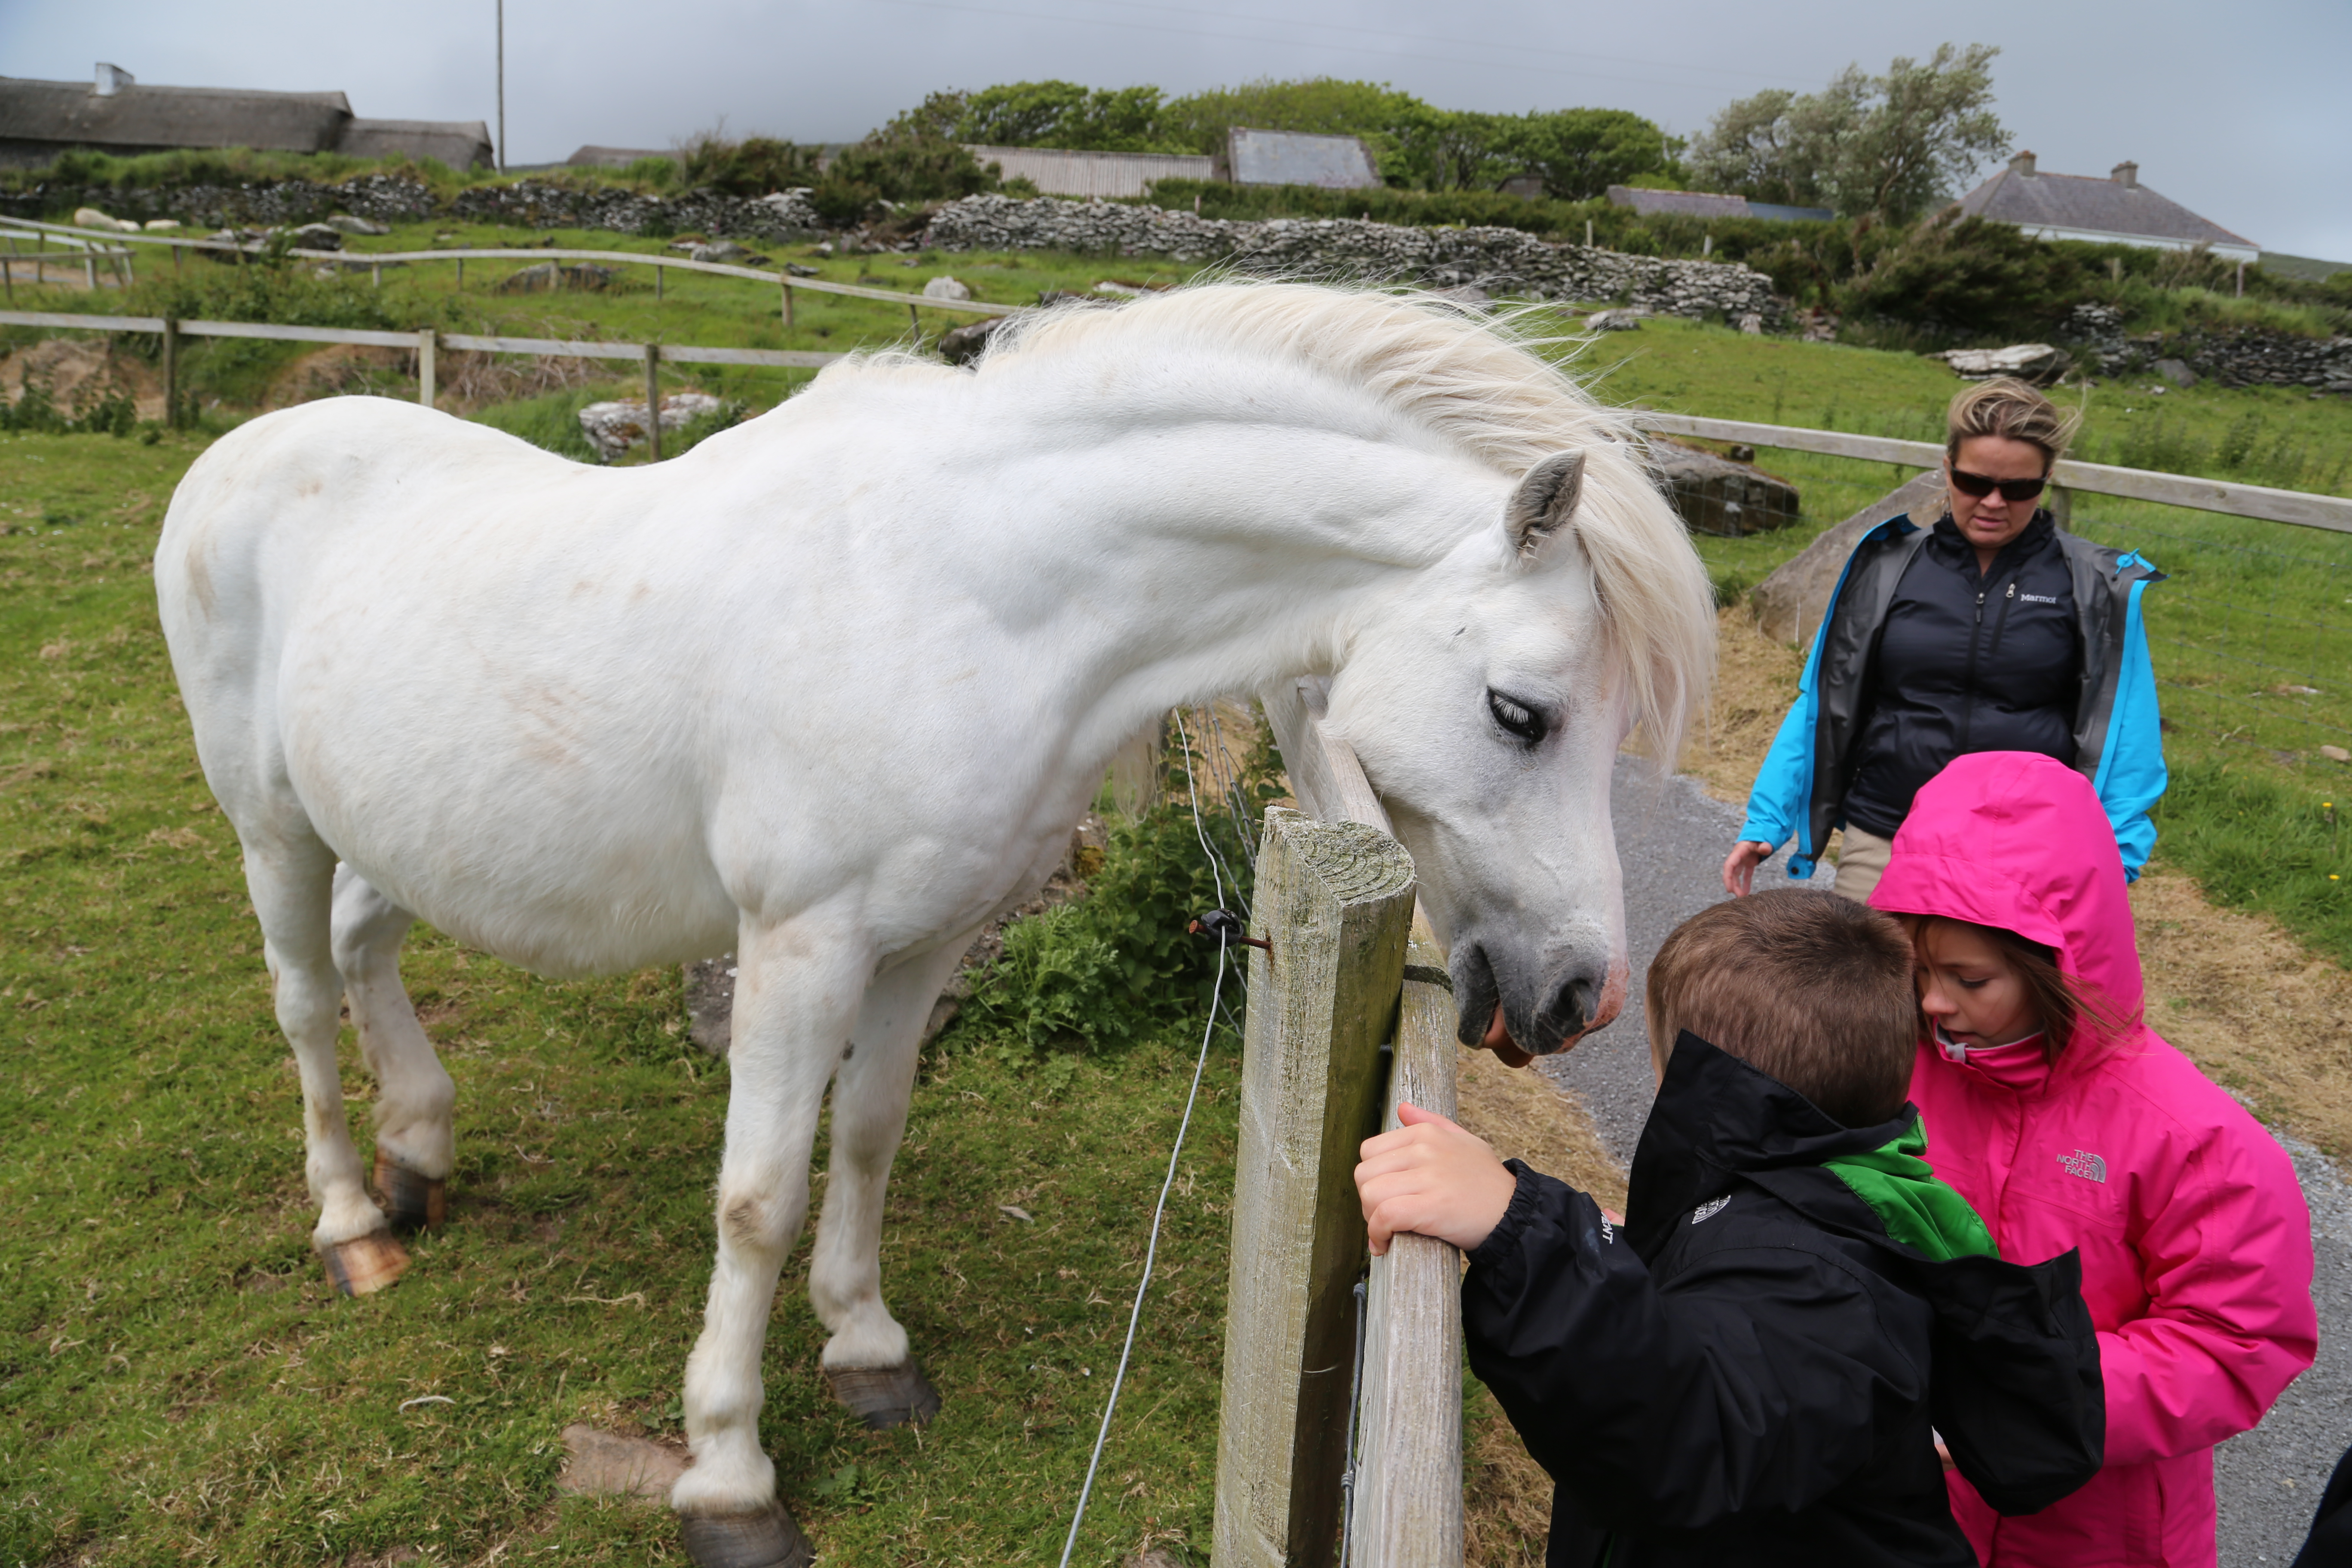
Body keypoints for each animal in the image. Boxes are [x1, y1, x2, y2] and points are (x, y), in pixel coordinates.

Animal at [161, 285, 1712, 1568]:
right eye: (1522, 712)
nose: (1577, 991)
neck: (965, 589)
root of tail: (240, 452)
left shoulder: (917, 941)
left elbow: (868, 1133)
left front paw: (865, 1349)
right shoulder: (799, 945)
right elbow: (758, 1198)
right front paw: (730, 1477)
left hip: (386, 828)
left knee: (363, 952)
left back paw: (419, 1153)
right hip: (271, 823)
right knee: (302, 998)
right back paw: (353, 1220)